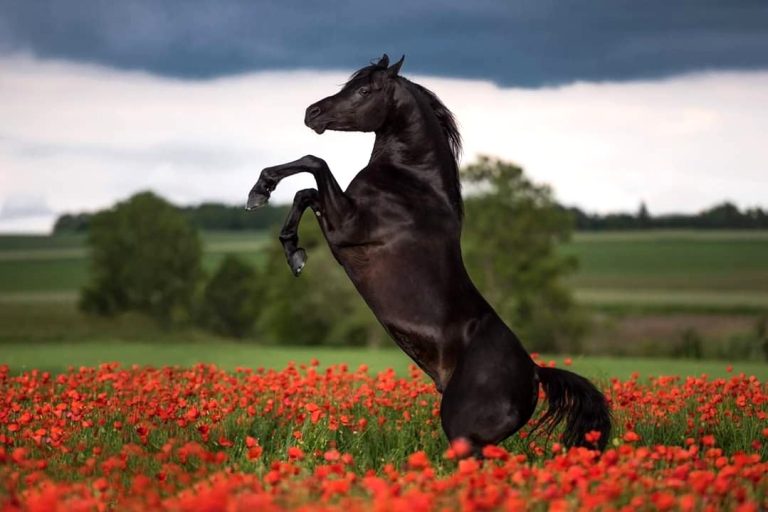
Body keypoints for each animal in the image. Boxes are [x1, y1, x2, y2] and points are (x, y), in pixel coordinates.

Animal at [247, 54, 611, 456]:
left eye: (364, 90)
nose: (312, 113)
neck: (411, 182)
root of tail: (534, 373)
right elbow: (305, 193)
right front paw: (292, 249)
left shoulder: (346, 226)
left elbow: (315, 164)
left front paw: (260, 192)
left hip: (463, 432)